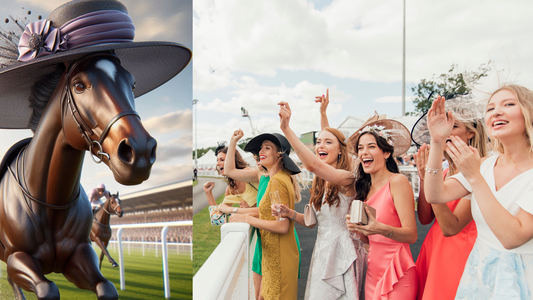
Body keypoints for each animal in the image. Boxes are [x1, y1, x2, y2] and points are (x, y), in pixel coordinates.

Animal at [0, 52, 156, 298]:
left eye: (133, 83)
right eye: (79, 85)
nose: (140, 151)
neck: (51, 202)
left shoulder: (79, 253)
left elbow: (106, 285)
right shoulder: (16, 256)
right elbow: (47, 288)